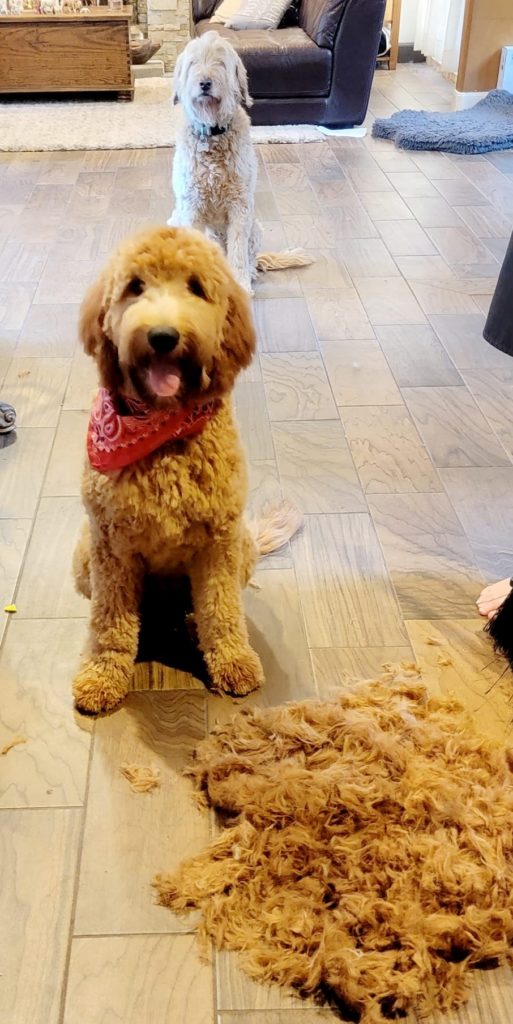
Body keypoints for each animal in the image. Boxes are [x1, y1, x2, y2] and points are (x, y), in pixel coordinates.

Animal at [71, 228, 296, 716]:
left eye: (195, 287)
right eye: (135, 286)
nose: (162, 336)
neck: (163, 436)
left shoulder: (219, 542)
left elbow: (221, 609)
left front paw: (232, 660)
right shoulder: (110, 547)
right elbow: (110, 620)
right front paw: (102, 673)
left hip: (242, 547)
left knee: (203, 606)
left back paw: (191, 625)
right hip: (83, 554)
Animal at [168, 30, 311, 292]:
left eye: (220, 63)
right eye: (193, 62)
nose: (205, 83)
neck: (212, 135)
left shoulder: (239, 206)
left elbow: (237, 250)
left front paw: (241, 284)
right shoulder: (190, 206)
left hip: (255, 227)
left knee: (249, 260)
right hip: (175, 219)